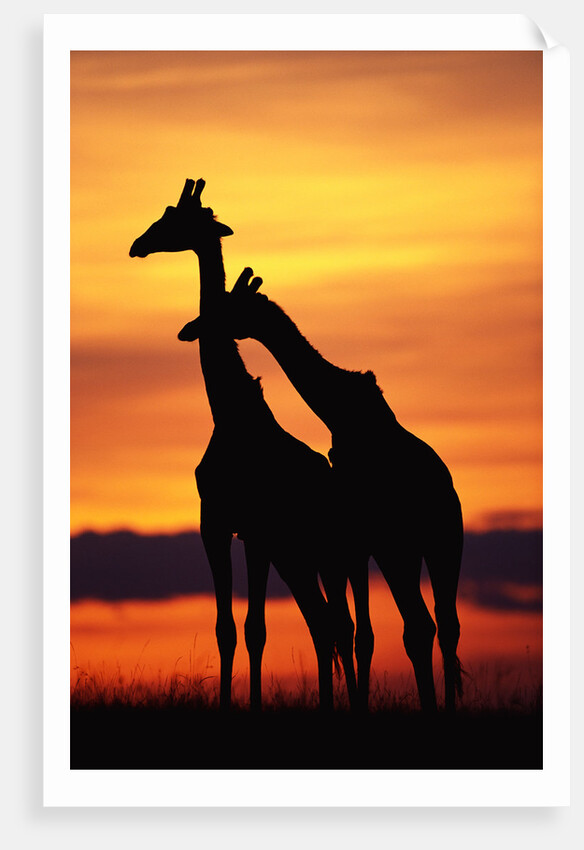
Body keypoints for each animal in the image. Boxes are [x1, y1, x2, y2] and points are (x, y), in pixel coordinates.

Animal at [129, 179, 358, 712]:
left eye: (176, 218)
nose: (137, 244)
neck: (229, 413)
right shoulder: (215, 524)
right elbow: (227, 629)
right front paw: (231, 706)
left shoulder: (255, 530)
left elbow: (255, 629)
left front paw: (250, 706)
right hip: (297, 554)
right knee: (322, 625)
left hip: (326, 552)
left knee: (341, 626)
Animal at [178, 277, 464, 714]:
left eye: (228, 306)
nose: (190, 329)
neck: (337, 408)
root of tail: (444, 496)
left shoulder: (363, 540)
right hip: (439, 545)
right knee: (444, 624)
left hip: (400, 547)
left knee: (417, 624)